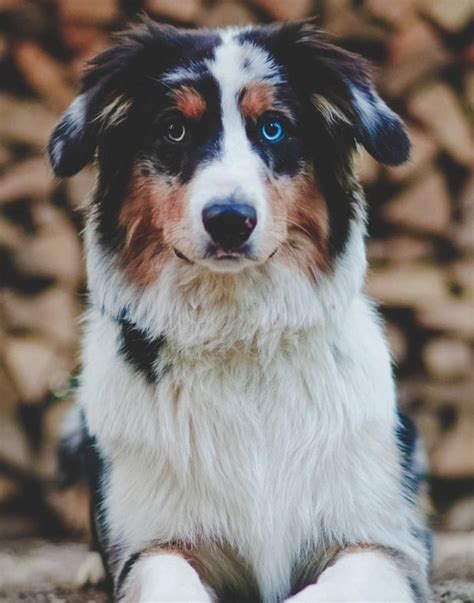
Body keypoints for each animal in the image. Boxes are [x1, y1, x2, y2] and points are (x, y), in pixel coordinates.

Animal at [50, 16, 432, 600]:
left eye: (272, 128)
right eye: (174, 130)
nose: (229, 218)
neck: (237, 332)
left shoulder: (383, 542)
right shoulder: (153, 544)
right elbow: (166, 577)